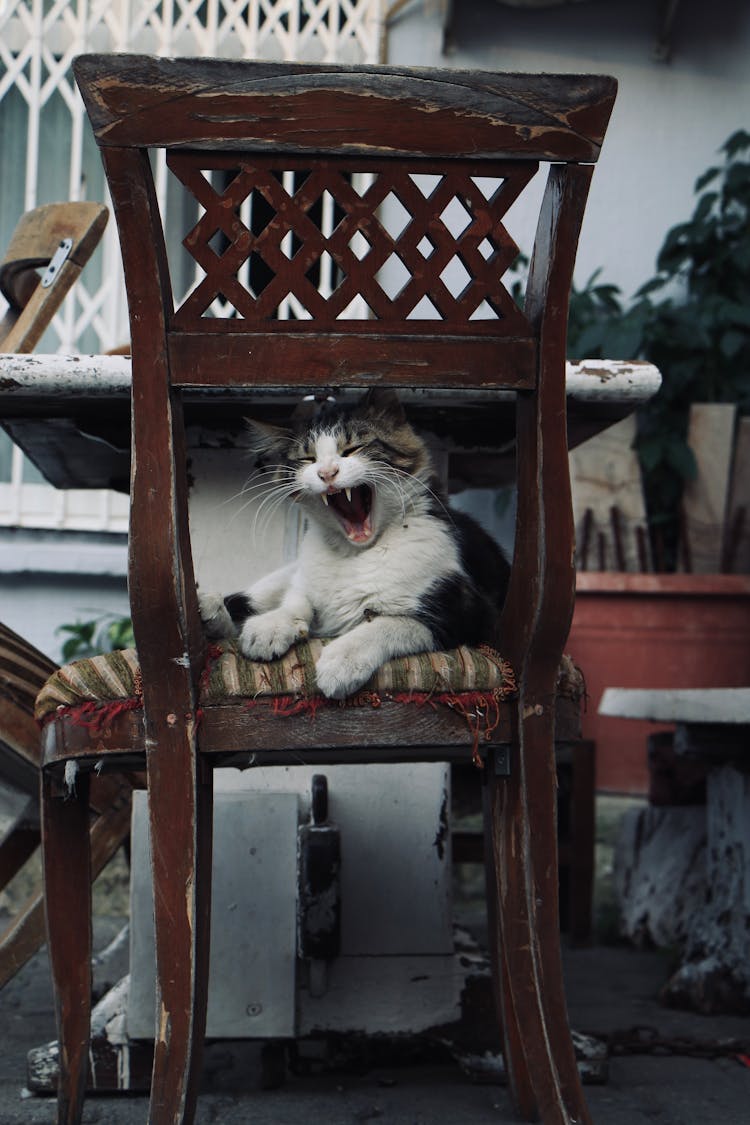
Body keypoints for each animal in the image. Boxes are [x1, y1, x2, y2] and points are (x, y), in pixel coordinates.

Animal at [201, 391, 510, 697]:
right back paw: (210, 609)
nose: (327, 473)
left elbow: (389, 623)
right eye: (308, 458)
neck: (354, 554)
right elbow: (297, 601)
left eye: (352, 448)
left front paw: (342, 661)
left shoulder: (467, 612)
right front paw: (271, 625)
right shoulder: (306, 582)